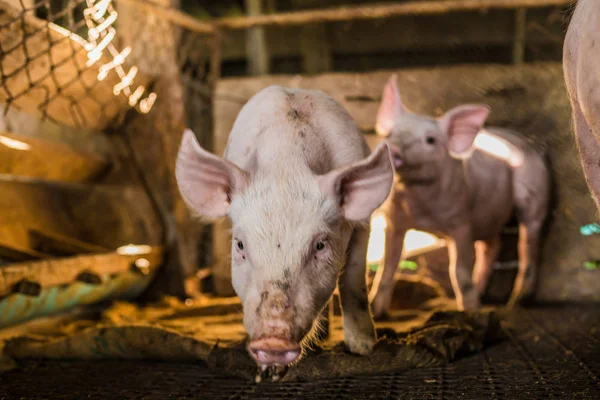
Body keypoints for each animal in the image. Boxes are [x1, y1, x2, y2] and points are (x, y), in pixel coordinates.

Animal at [176, 86, 396, 380]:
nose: (273, 340)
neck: (286, 165)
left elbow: (353, 279)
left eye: (320, 245)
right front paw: (269, 372)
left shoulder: (363, 223)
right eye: (240, 245)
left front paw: (362, 349)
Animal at [372, 76, 552, 318]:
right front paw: (377, 313)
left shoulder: (462, 223)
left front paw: (470, 312)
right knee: (493, 246)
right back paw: (478, 296)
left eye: (431, 140)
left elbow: (458, 271)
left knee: (528, 244)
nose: (394, 150)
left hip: (535, 193)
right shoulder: (394, 221)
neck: (421, 208)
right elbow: (388, 265)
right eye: (390, 133)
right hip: (487, 217)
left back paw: (515, 304)